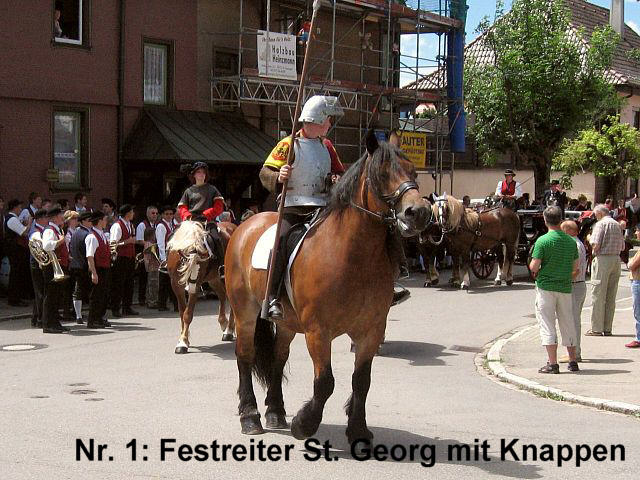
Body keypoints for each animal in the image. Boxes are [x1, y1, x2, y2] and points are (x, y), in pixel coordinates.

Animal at [166, 220, 236, 352]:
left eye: (200, 264)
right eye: (185, 261)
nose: (191, 285)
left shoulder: (197, 285)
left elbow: (187, 314)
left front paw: (183, 342)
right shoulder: (176, 285)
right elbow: (182, 312)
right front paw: (184, 337)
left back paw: (229, 330)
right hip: (213, 279)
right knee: (222, 295)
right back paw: (224, 323)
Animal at [224, 133, 430, 444]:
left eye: (414, 172)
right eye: (383, 174)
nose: (418, 212)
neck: (352, 256)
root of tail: (244, 226)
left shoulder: (371, 330)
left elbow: (362, 381)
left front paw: (357, 429)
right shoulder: (318, 332)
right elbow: (325, 382)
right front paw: (304, 424)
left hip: (286, 322)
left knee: (278, 358)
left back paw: (275, 411)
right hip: (244, 313)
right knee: (244, 356)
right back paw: (250, 416)